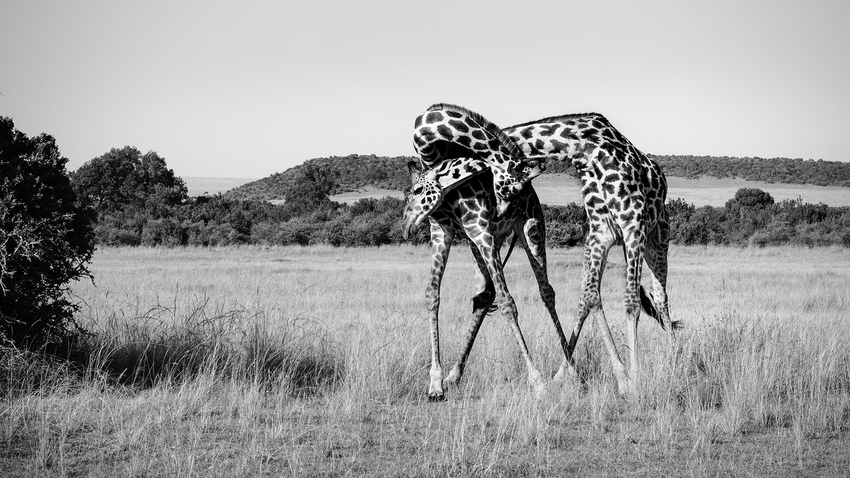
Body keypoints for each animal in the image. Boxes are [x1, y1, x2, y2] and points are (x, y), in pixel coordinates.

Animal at [400, 160, 568, 400]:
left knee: (546, 292)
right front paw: (435, 384)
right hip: (485, 242)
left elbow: (508, 304)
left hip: (530, 229)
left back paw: (569, 370)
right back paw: (453, 376)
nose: (405, 227)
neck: (449, 201)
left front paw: (537, 383)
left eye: (417, 190)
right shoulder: (442, 233)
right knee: (484, 297)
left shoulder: (482, 233)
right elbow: (432, 295)